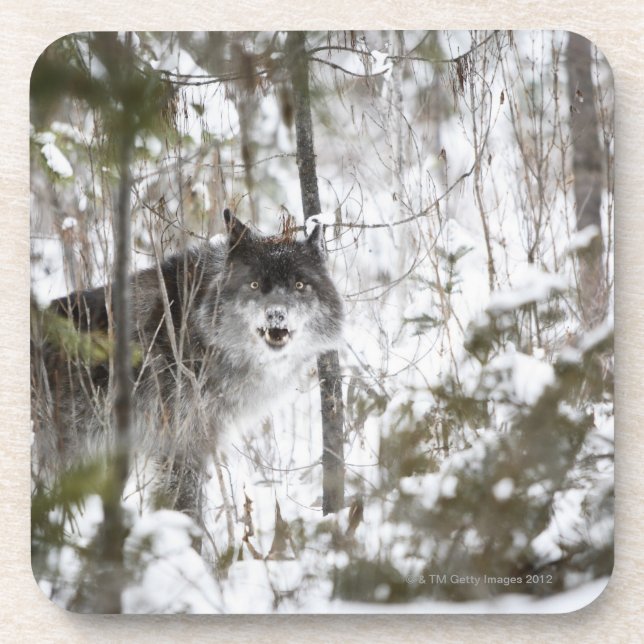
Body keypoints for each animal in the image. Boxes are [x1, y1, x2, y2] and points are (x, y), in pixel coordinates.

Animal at [31, 209, 344, 521]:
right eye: (254, 284)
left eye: (299, 285)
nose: (276, 315)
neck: (197, 329)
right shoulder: (179, 443)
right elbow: (186, 505)